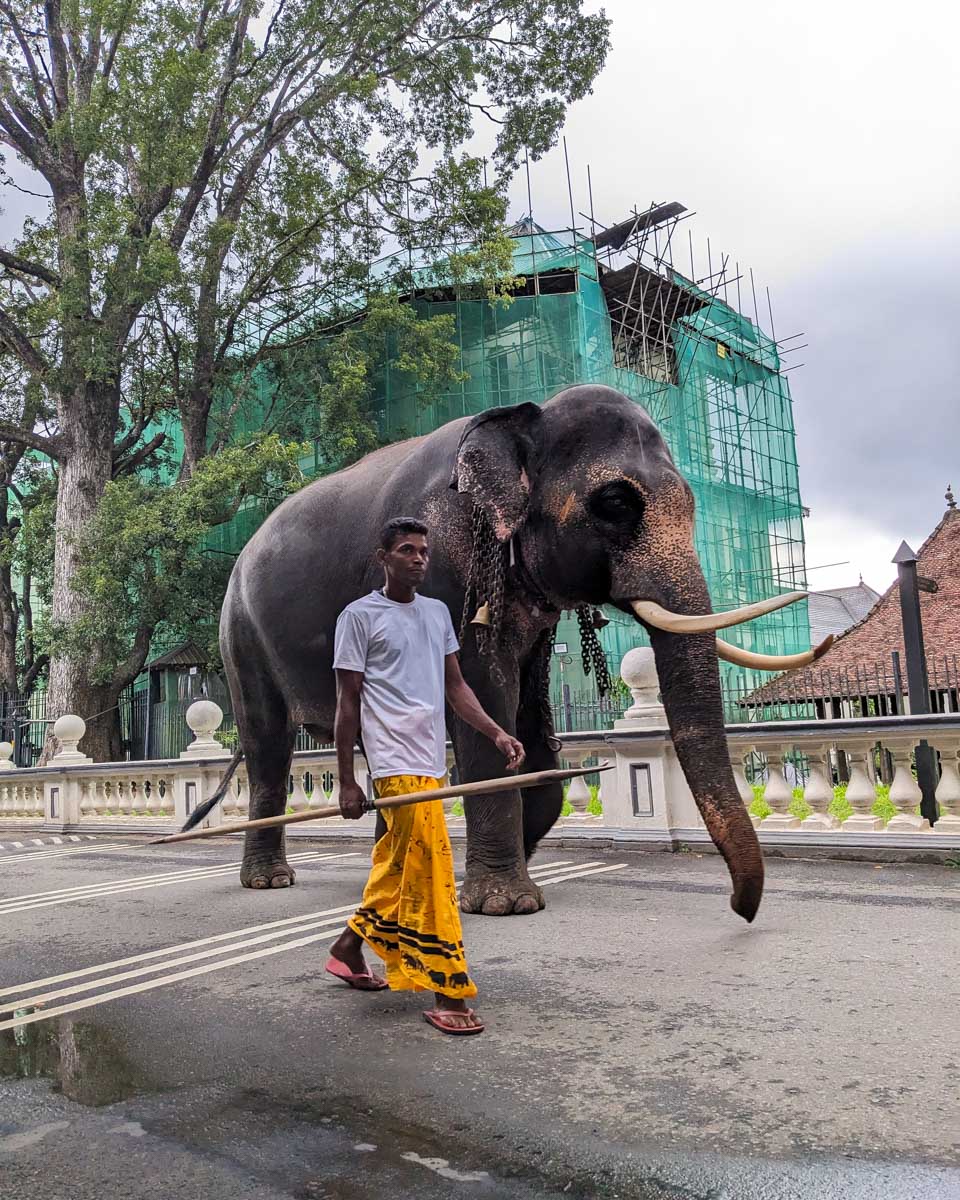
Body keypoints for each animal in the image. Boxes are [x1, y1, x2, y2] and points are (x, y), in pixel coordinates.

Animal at [213, 384, 824, 918]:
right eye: (615, 503)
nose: (741, 909)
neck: (524, 419)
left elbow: (531, 715)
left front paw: (508, 865)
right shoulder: (448, 569)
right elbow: (483, 694)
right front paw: (505, 903)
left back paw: (386, 875)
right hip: (240, 635)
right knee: (268, 746)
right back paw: (271, 880)